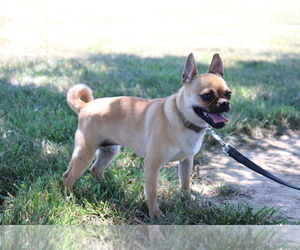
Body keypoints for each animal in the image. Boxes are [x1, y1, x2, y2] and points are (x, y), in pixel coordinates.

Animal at [62, 52, 232, 217]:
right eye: (207, 96)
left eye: (229, 94)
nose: (225, 103)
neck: (183, 119)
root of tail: (85, 106)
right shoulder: (152, 165)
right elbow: (152, 192)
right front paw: (154, 213)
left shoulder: (186, 161)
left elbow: (185, 185)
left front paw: (186, 202)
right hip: (84, 154)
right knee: (68, 176)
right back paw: (70, 198)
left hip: (109, 150)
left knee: (96, 169)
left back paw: (107, 186)